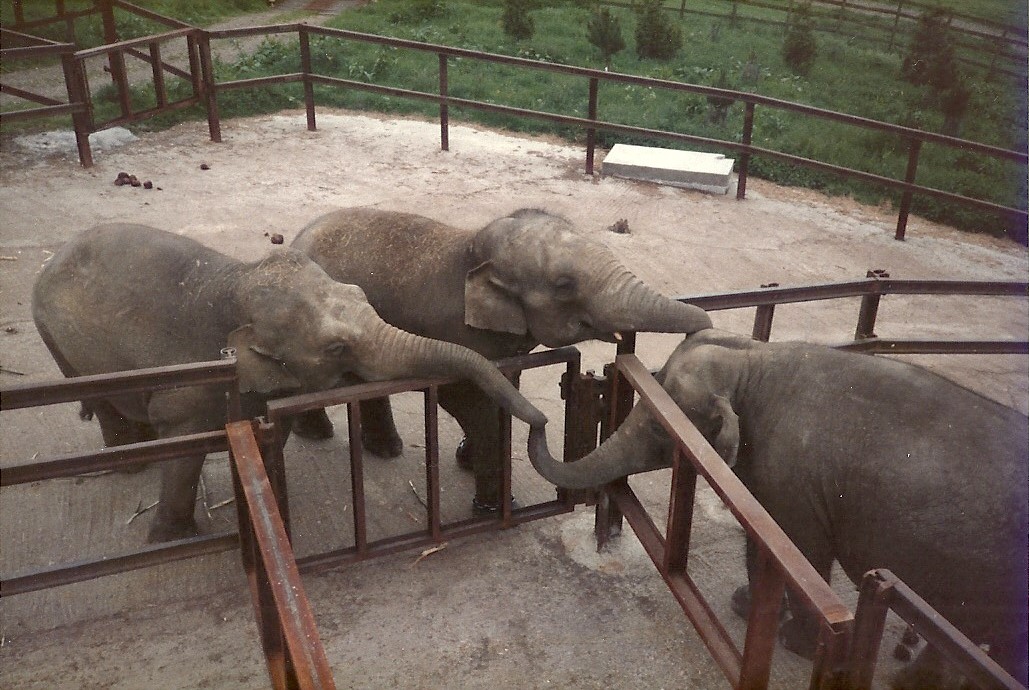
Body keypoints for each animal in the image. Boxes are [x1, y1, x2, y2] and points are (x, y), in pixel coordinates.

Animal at [32, 224, 549, 543]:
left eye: (360, 293)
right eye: (336, 348)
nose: (543, 421)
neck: (237, 281)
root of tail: (52, 257)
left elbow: (268, 434)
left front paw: (266, 513)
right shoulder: (188, 381)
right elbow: (183, 444)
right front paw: (171, 539)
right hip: (56, 342)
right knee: (99, 398)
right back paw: (130, 462)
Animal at [290, 207, 713, 514]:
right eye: (564, 286)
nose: (703, 332)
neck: (473, 249)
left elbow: (506, 388)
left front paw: (468, 462)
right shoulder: (455, 331)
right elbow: (467, 400)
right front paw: (495, 506)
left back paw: (382, 449)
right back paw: (321, 435)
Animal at [526, 329, 1029, 687]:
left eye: (656, 427)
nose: (542, 413)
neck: (753, 363)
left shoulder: (793, 481)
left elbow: (790, 547)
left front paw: (784, 635)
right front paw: (749, 606)